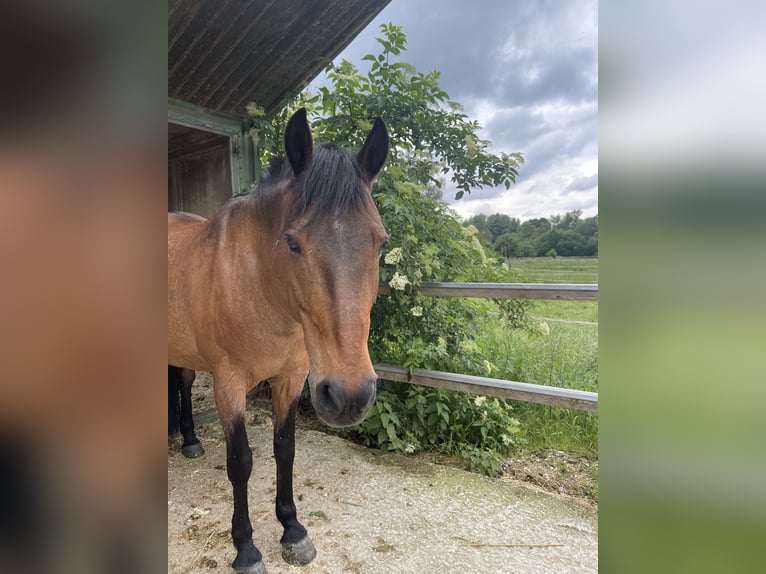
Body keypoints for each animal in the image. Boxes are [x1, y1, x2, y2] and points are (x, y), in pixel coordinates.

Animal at [166, 109, 388, 574]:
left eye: (381, 242)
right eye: (292, 242)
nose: (350, 395)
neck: (258, 285)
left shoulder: (291, 378)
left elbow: (284, 450)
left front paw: (293, 530)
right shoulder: (229, 385)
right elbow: (241, 462)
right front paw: (246, 549)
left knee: (181, 381)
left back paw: (189, 439)